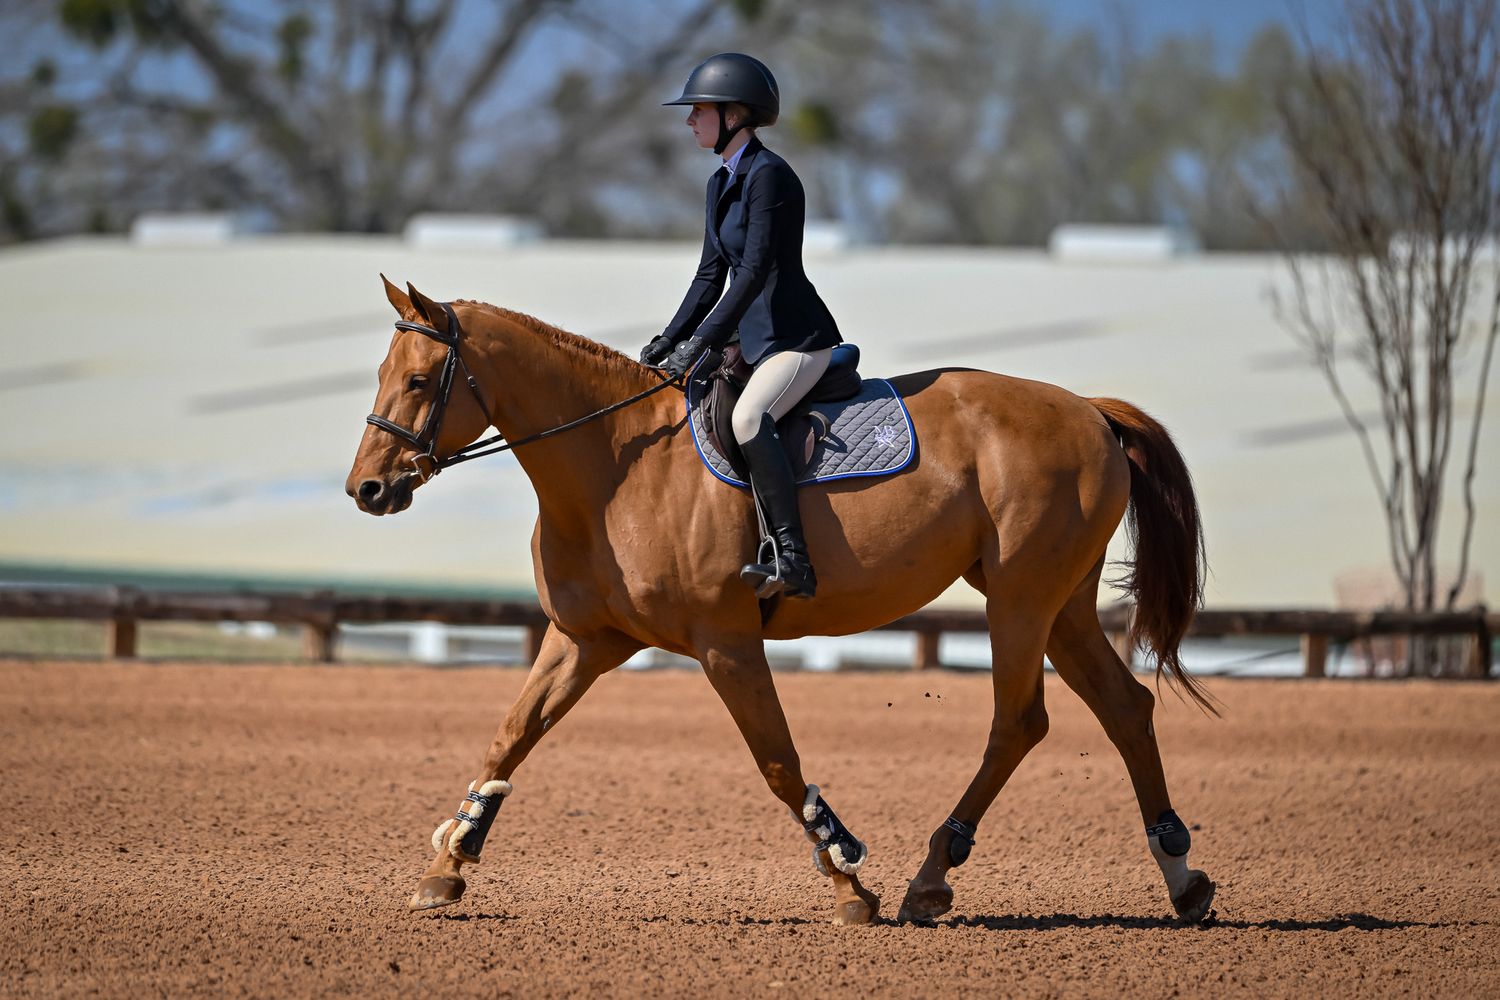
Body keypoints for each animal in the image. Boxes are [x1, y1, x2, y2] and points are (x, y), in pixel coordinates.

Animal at [346, 277, 1218, 926]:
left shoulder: (725, 643)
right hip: (1059, 604)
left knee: (1019, 722)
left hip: (1020, 597)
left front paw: (848, 883)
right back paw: (1181, 879)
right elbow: (509, 738)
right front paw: (447, 866)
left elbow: (776, 760)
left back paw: (932, 878)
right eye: (384, 376)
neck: (614, 469)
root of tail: (1091, 411)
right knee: (1125, 708)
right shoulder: (583, 639)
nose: (368, 490)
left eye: (419, 381)